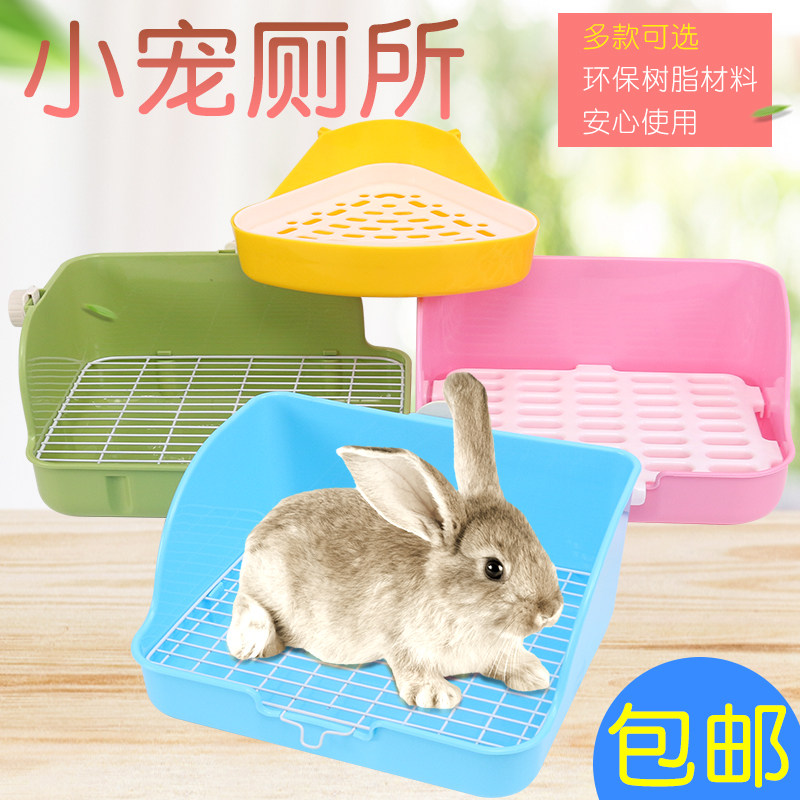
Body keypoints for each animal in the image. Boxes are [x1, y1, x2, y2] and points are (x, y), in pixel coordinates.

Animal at [226, 371, 564, 709]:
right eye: (494, 568)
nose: (551, 611)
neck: (452, 604)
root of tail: (260, 528)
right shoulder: (403, 645)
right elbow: (412, 667)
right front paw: (437, 695)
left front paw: (533, 673)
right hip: (264, 587)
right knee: (245, 603)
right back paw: (252, 642)